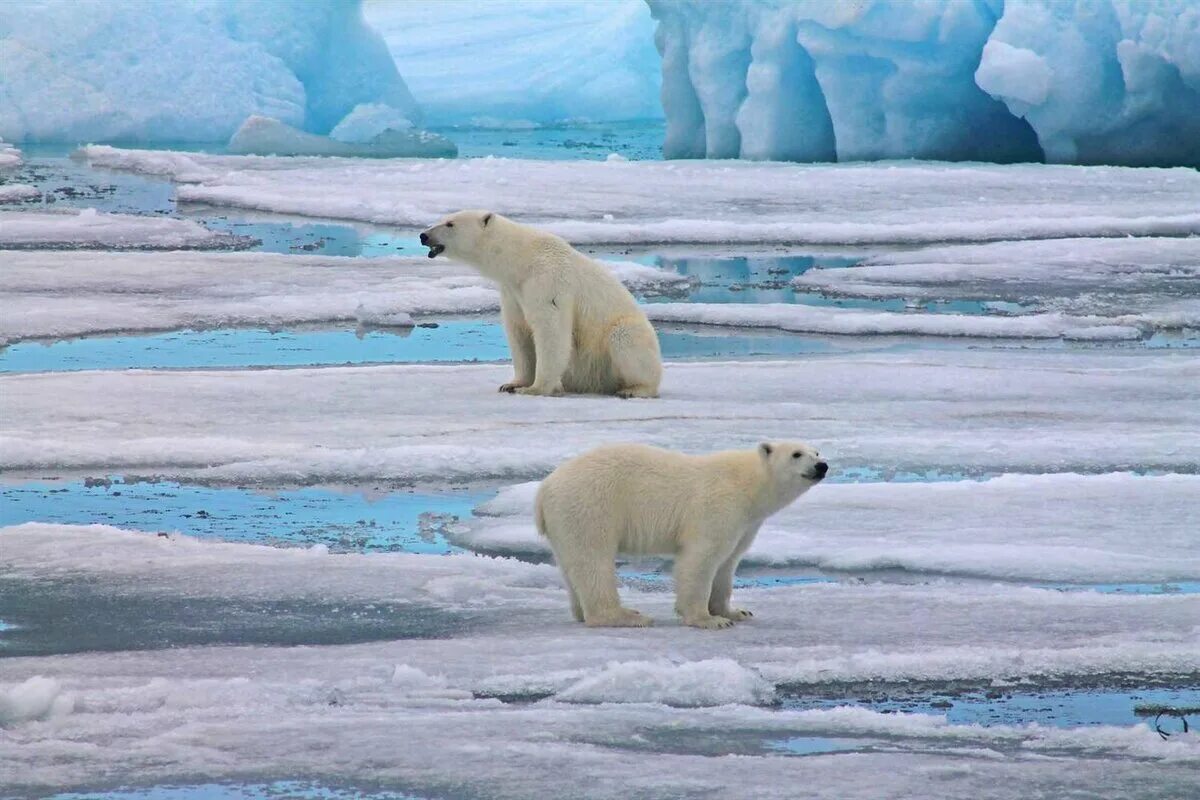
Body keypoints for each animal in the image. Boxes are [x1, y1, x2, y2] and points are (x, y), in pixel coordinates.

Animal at [420, 211, 667, 398]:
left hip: (619, 341)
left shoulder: (548, 280)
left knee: (625, 338)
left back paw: (634, 389)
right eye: (443, 218)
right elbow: (519, 332)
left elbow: (551, 330)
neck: (521, 259)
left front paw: (535, 388)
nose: (423, 235)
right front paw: (512, 384)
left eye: (450, 223)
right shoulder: (512, 291)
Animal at [535, 441, 825, 628]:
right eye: (797, 454)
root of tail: (545, 488)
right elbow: (701, 558)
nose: (822, 466)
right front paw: (708, 620)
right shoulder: (719, 506)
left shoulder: (746, 523)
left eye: (817, 451)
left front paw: (736, 612)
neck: (749, 485)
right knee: (593, 561)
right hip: (591, 505)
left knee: (572, 564)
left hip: (566, 520)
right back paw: (627, 616)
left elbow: (728, 562)